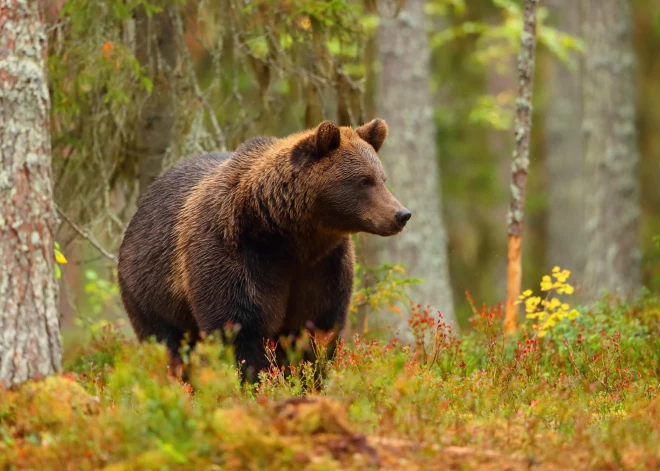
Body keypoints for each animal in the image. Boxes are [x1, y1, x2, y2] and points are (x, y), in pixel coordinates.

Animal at [116, 120, 410, 382]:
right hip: (152, 292)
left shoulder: (323, 266)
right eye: (364, 180)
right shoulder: (237, 254)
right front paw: (255, 382)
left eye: (382, 178)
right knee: (169, 345)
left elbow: (315, 330)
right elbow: (240, 327)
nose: (401, 214)